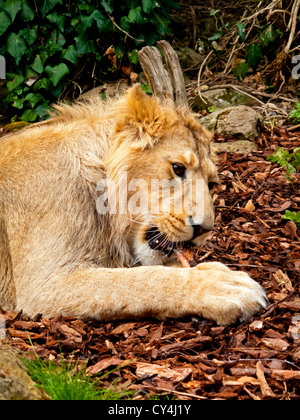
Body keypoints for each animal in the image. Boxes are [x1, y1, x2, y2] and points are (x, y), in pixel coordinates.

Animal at [0, 85, 268, 326]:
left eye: (211, 184)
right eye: (178, 168)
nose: (204, 230)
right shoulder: (45, 284)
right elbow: (142, 280)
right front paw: (220, 285)